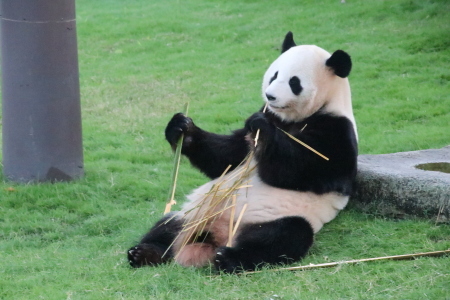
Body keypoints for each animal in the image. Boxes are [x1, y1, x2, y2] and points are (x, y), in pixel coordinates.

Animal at [127, 31, 358, 274]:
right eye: (274, 75)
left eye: (294, 82)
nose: (270, 96)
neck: (292, 119)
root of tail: (215, 238)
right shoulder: (261, 121)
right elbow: (227, 157)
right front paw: (182, 127)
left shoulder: (337, 130)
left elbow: (307, 170)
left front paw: (262, 129)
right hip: (193, 213)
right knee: (168, 227)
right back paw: (144, 253)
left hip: (272, 218)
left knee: (282, 236)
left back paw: (228, 258)